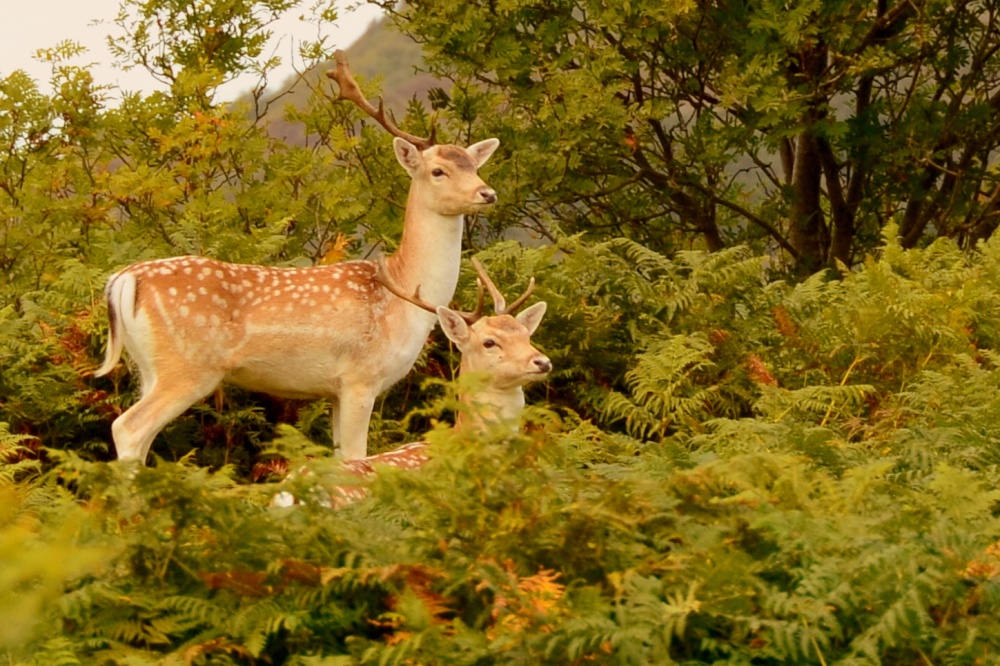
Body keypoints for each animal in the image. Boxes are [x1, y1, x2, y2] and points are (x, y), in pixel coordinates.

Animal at [93, 51, 500, 464]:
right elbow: (356, 455)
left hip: (148, 367)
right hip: (186, 366)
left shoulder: (334, 390)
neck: (402, 296)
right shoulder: (360, 377)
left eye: (474, 166)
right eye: (438, 171)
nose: (487, 193)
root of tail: (124, 280)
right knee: (128, 428)